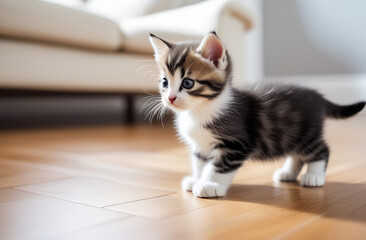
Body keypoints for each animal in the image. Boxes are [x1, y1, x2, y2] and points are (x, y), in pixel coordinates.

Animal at [147, 31, 364, 198]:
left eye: (188, 83)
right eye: (165, 82)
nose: (170, 98)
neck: (199, 110)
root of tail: (317, 95)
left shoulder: (236, 143)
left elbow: (218, 166)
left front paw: (210, 185)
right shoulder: (200, 145)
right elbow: (200, 163)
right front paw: (197, 179)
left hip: (306, 133)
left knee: (321, 149)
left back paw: (314, 176)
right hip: (292, 134)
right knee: (298, 154)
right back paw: (288, 173)